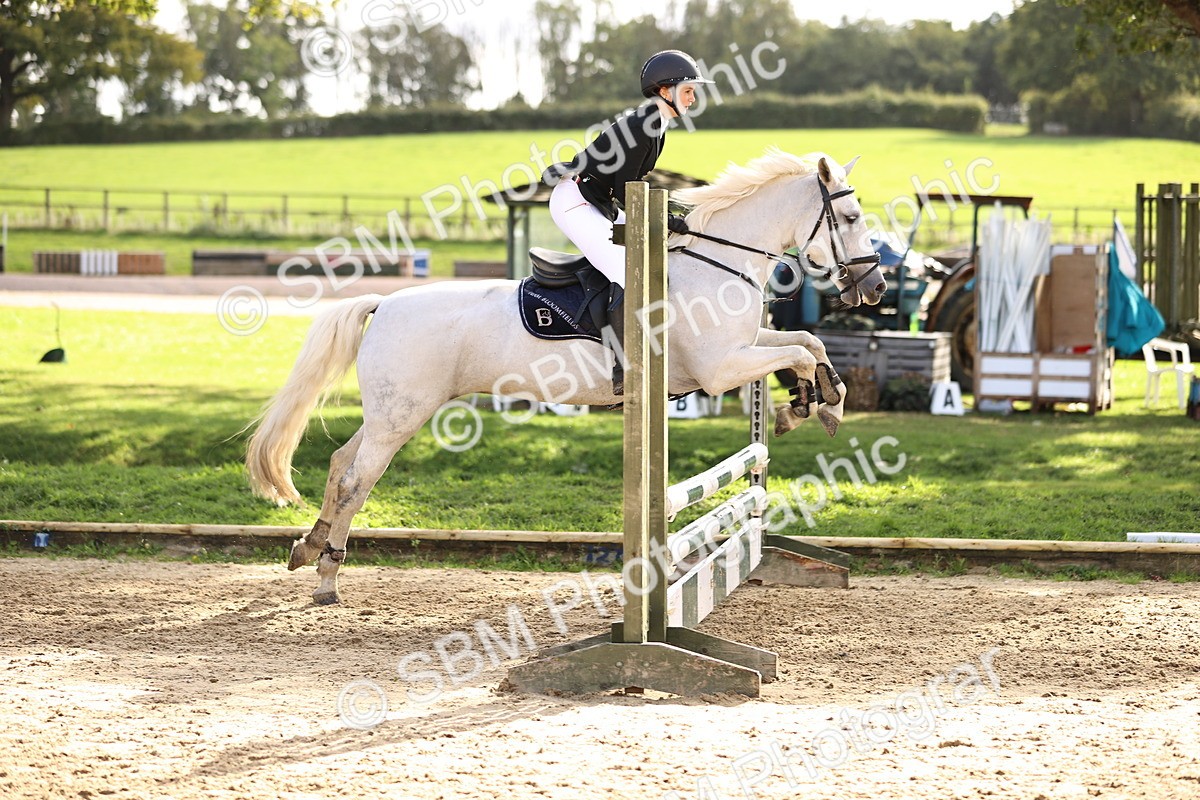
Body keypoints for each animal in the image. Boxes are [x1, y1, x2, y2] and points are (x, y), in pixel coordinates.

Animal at [245, 149, 885, 605]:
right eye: (851, 217)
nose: (876, 287)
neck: (719, 262)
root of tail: (383, 303)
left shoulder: (743, 349)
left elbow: (807, 344)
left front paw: (815, 402)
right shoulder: (720, 367)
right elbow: (798, 351)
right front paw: (810, 403)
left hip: (389, 413)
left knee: (339, 464)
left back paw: (306, 548)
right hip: (401, 415)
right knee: (358, 479)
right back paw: (327, 578)